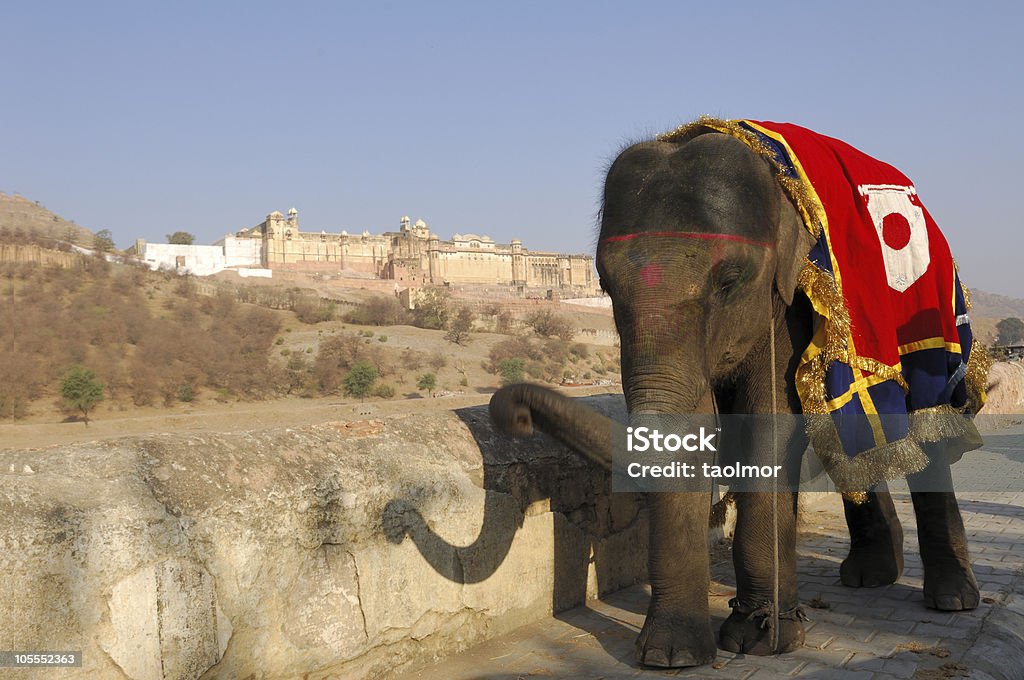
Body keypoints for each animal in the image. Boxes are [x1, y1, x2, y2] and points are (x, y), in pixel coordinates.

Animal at [487, 124, 983, 667]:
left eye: (729, 281)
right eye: (605, 284)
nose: (512, 412)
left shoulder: (788, 301)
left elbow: (769, 425)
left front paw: (762, 639)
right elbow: (696, 426)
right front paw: (673, 656)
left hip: (930, 326)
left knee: (929, 430)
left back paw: (953, 599)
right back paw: (870, 576)